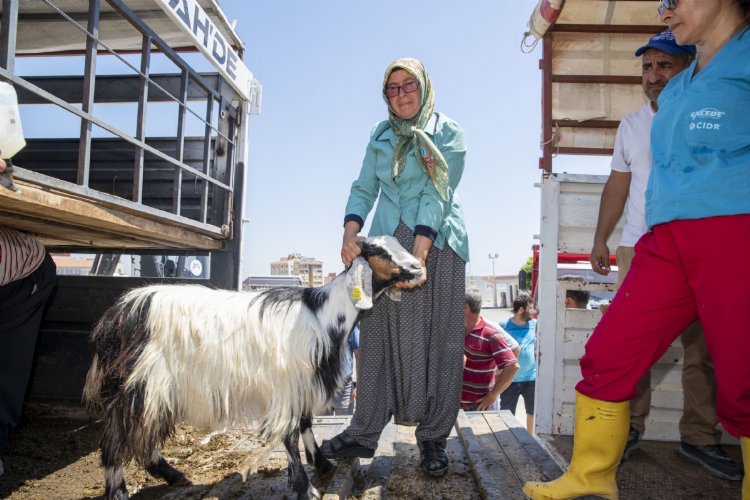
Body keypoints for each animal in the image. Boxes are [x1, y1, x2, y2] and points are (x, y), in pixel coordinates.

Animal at [84, 235, 426, 500]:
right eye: (378, 252)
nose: (419, 269)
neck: (323, 314)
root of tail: (118, 312)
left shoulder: (302, 384)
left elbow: (305, 424)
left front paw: (322, 465)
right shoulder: (285, 387)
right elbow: (289, 435)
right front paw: (304, 487)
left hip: (155, 388)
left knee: (142, 435)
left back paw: (173, 475)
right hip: (137, 384)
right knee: (117, 438)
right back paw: (119, 491)